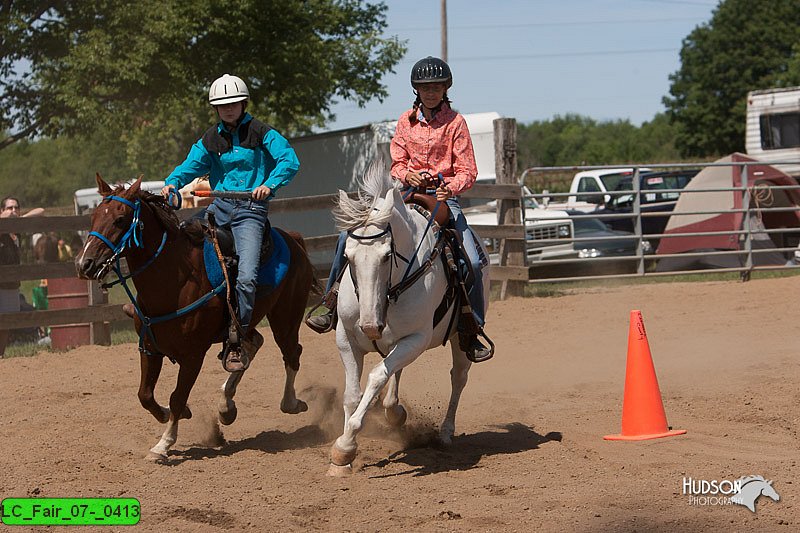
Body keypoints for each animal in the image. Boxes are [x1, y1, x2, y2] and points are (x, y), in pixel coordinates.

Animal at [76, 176, 316, 462]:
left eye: (120, 219)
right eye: (93, 218)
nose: (85, 264)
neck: (174, 281)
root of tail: (292, 239)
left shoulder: (193, 356)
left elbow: (177, 397)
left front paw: (163, 445)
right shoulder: (149, 348)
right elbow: (145, 395)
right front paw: (168, 415)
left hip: (286, 317)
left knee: (291, 353)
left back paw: (290, 403)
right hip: (245, 324)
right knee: (252, 344)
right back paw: (226, 405)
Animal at [326, 162, 490, 474]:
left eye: (387, 255)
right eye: (348, 256)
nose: (370, 326)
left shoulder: (416, 339)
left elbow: (377, 375)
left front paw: (344, 446)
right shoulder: (346, 338)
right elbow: (352, 395)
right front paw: (343, 457)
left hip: (460, 337)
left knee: (457, 378)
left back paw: (445, 433)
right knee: (396, 371)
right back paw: (394, 410)